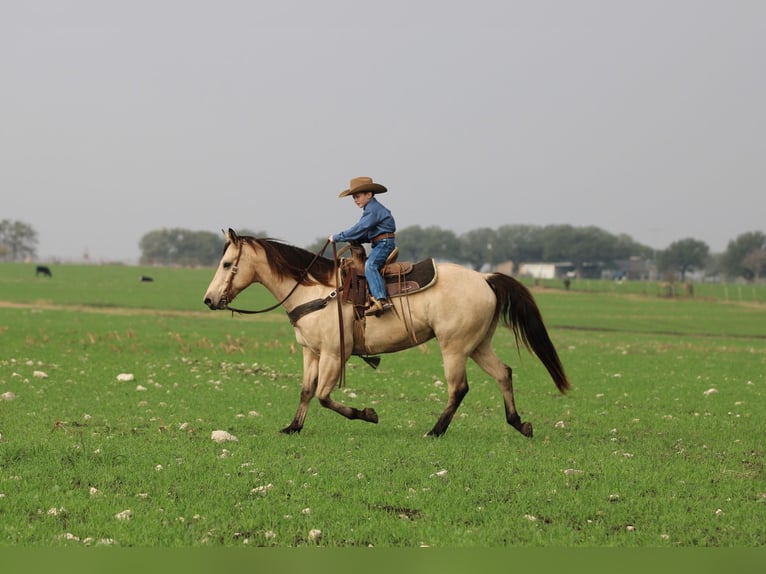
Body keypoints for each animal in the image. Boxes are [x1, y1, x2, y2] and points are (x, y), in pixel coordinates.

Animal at [204, 230, 568, 436]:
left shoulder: (335, 354)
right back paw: (520, 424)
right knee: (503, 373)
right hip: (477, 345)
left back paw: (435, 431)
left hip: (454, 347)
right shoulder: (312, 352)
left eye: (226, 264)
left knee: (459, 388)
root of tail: (484, 278)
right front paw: (293, 427)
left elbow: (324, 396)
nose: (209, 300)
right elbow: (307, 392)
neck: (315, 290)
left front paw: (368, 414)